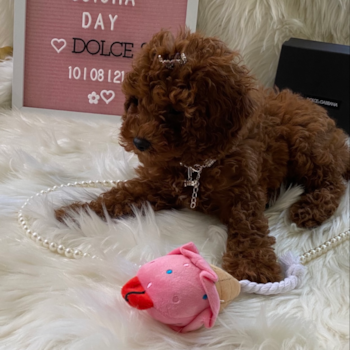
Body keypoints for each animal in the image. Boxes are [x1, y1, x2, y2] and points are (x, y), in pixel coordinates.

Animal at [56, 29, 348, 282]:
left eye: (175, 110)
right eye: (136, 101)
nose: (138, 141)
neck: (195, 164)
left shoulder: (245, 189)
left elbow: (248, 223)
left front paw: (252, 263)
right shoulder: (158, 184)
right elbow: (122, 194)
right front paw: (80, 210)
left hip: (306, 143)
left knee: (333, 181)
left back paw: (312, 208)